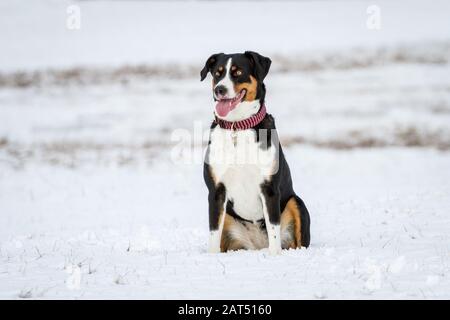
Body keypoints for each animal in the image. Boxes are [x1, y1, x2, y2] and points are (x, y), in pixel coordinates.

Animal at [200, 50, 310, 255]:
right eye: (217, 73)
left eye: (237, 72)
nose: (219, 89)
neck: (237, 127)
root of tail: (257, 246)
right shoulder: (216, 191)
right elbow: (213, 232)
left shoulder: (269, 189)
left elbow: (273, 230)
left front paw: (274, 256)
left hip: (296, 203)